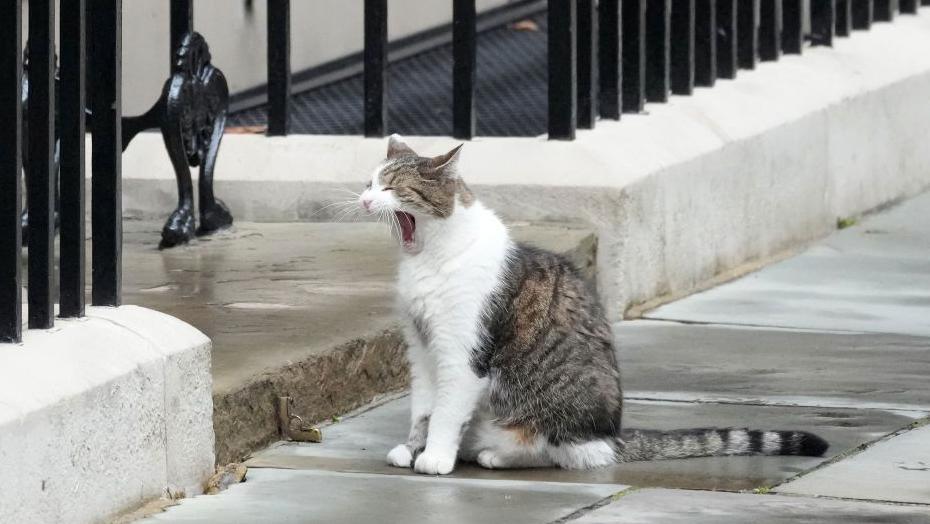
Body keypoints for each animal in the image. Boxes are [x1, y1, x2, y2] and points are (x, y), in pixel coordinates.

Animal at [358, 135, 828, 474]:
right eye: (369, 183)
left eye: (392, 187)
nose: (362, 199)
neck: (429, 258)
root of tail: (611, 434)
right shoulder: (422, 348)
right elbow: (423, 407)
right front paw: (412, 449)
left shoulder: (462, 352)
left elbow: (445, 411)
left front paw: (435, 458)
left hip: (545, 416)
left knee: (562, 451)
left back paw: (498, 454)